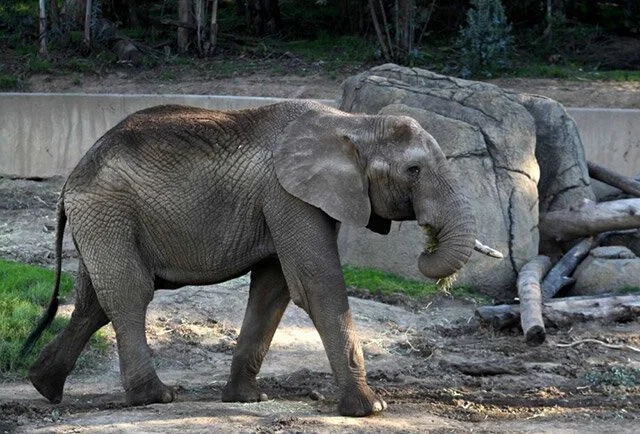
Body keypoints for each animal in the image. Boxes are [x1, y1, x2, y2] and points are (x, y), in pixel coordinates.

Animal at [22, 100, 478, 417]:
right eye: (414, 171)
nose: (426, 244)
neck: (354, 122)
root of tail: (71, 179)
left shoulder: (287, 200)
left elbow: (273, 289)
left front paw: (247, 399)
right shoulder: (288, 195)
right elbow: (315, 284)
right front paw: (370, 408)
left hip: (101, 221)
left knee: (93, 302)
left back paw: (44, 386)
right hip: (108, 212)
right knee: (130, 293)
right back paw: (156, 397)